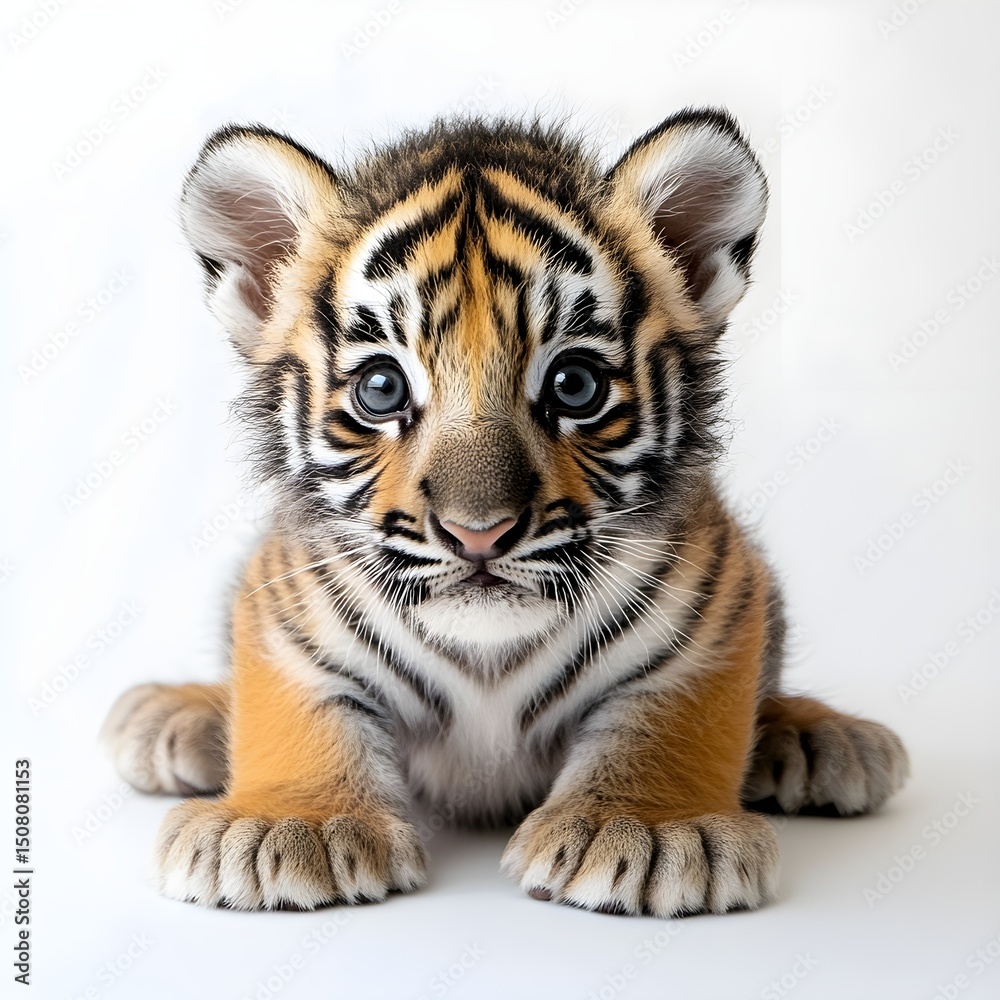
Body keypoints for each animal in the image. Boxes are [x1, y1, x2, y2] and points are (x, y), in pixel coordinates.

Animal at [101, 107, 909, 916]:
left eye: (575, 385)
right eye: (381, 390)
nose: (477, 532)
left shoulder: (718, 604)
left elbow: (669, 718)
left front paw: (648, 828)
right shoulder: (282, 607)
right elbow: (295, 710)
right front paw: (290, 823)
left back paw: (823, 741)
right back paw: (177, 715)